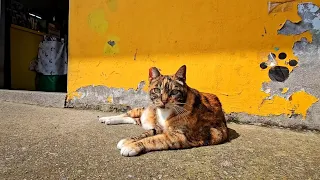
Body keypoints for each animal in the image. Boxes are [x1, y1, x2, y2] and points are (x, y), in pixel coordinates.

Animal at [99, 64, 228, 156]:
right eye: (156, 90)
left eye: (174, 92)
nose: (164, 100)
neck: (165, 113)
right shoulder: (160, 128)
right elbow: (147, 133)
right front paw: (128, 140)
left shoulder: (179, 135)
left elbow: (153, 139)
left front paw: (131, 146)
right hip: (142, 110)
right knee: (127, 114)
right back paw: (105, 118)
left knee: (134, 119)